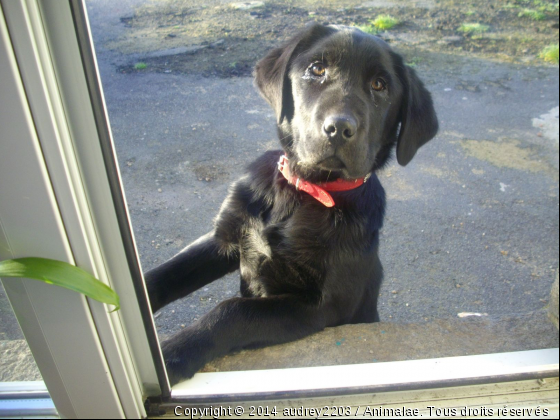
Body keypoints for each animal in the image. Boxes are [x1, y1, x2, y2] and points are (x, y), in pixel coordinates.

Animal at [145, 23, 438, 384]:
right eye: (317, 69)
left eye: (379, 85)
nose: (339, 128)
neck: (302, 192)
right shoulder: (224, 239)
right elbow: (165, 273)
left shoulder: (317, 306)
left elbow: (234, 310)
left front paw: (173, 351)